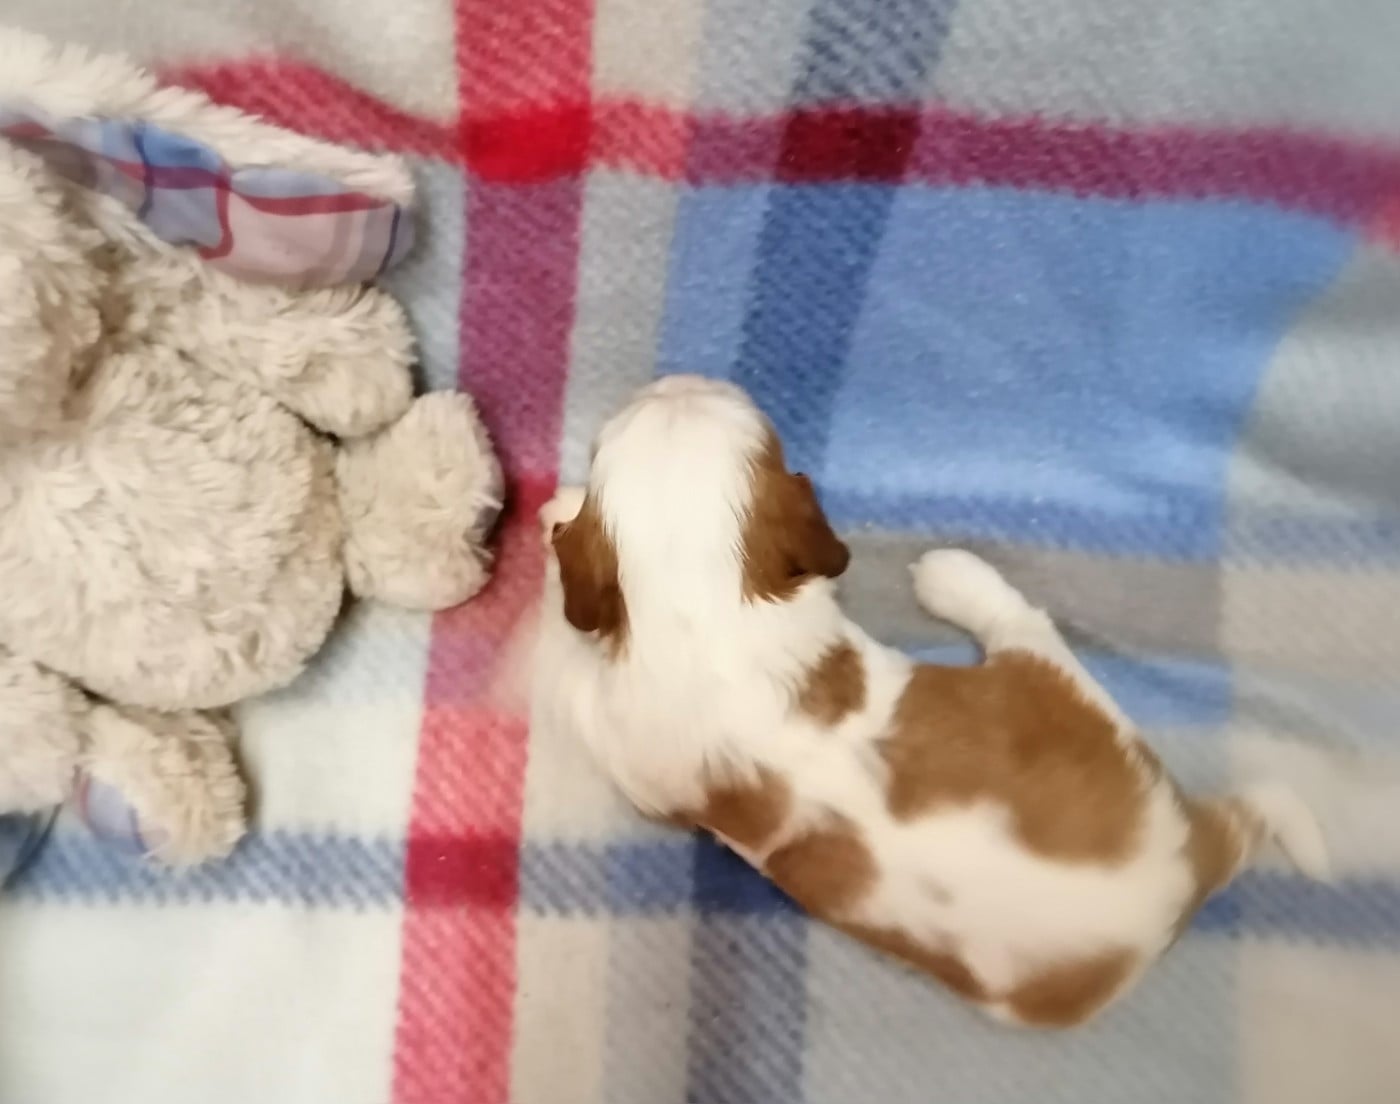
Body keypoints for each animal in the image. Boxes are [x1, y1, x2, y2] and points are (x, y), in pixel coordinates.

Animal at [532, 374, 1327, 1028]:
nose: (677, 378)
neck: (700, 601)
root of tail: (1191, 865)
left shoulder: (628, 751)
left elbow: (573, 662)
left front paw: (562, 516)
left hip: (1047, 682)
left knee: (1021, 619)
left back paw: (954, 575)